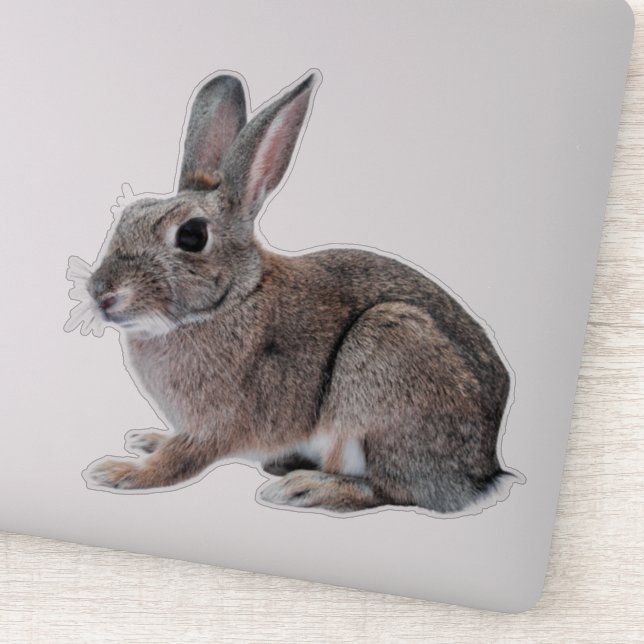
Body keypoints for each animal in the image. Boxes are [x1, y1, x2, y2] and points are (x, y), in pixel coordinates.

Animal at [71, 69, 522, 514]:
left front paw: (120, 472)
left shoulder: (217, 425)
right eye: (127, 216)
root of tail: (483, 470)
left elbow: (179, 461)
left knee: (391, 491)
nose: (101, 293)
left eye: (192, 235)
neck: (232, 300)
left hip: (387, 356)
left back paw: (306, 488)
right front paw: (148, 440)